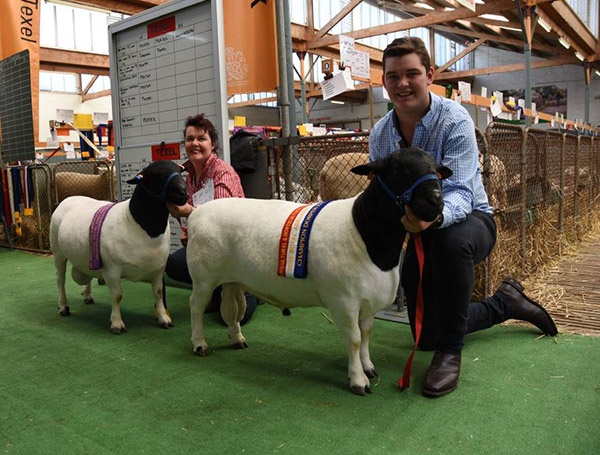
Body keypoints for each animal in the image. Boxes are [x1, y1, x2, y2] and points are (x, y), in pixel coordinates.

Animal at [51, 160, 188, 334]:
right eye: (157, 175)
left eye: (179, 170)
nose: (183, 193)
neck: (135, 222)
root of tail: (67, 199)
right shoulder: (112, 269)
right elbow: (117, 296)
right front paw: (117, 324)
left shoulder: (158, 269)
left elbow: (158, 293)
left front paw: (164, 319)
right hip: (58, 252)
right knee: (60, 279)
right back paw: (63, 306)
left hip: (88, 256)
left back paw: (87, 296)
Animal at [186, 149, 450, 396]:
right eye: (399, 169)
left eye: (437, 171)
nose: (435, 202)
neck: (364, 231)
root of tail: (196, 213)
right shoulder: (343, 301)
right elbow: (354, 340)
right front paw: (358, 381)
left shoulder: (367, 301)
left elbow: (366, 335)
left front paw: (368, 368)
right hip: (203, 276)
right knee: (196, 307)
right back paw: (199, 344)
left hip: (231, 278)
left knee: (232, 308)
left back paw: (237, 339)